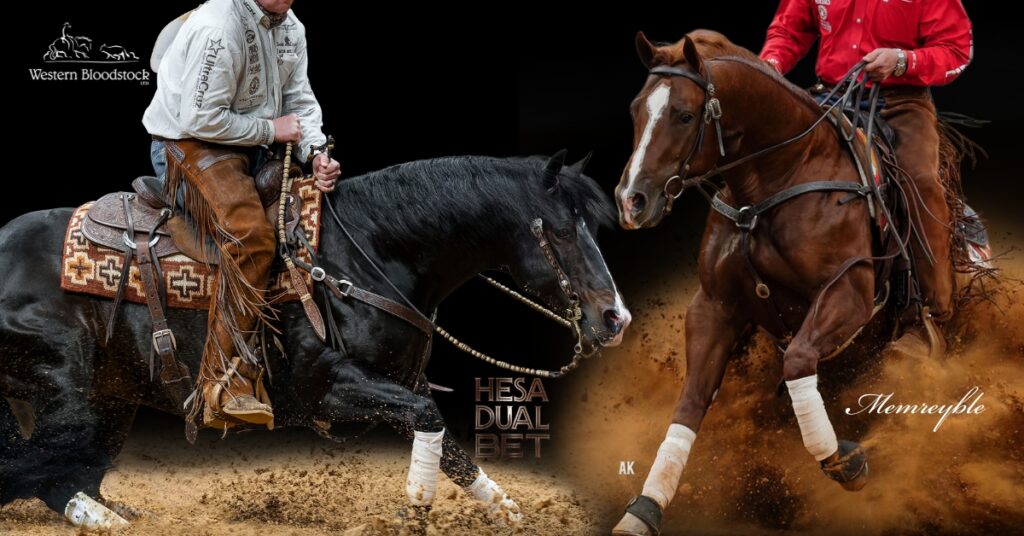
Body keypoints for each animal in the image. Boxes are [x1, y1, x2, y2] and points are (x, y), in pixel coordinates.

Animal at [0, 151, 632, 531]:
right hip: (70, 385)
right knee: (47, 471)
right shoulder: (325, 388)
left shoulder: (393, 384)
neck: (362, 254)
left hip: (113, 396)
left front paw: (506, 509)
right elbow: (428, 417)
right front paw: (417, 508)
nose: (615, 316)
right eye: (558, 231)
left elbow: (448, 443)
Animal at [609, 30, 981, 535]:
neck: (778, 179)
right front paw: (645, 507)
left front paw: (842, 459)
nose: (631, 200)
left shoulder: (850, 294)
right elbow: (691, 400)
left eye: (684, 114)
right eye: (636, 111)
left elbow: (799, 359)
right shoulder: (714, 306)